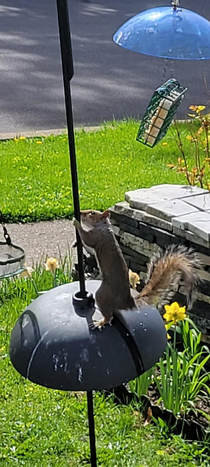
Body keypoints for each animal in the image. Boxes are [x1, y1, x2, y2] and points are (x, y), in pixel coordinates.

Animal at [73, 210, 201, 328]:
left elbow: (86, 239)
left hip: (103, 294)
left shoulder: (97, 237)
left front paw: (76, 223)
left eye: (92, 213)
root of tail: (127, 302)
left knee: (108, 315)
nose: (81, 213)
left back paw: (100, 323)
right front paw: (75, 242)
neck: (103, 227)